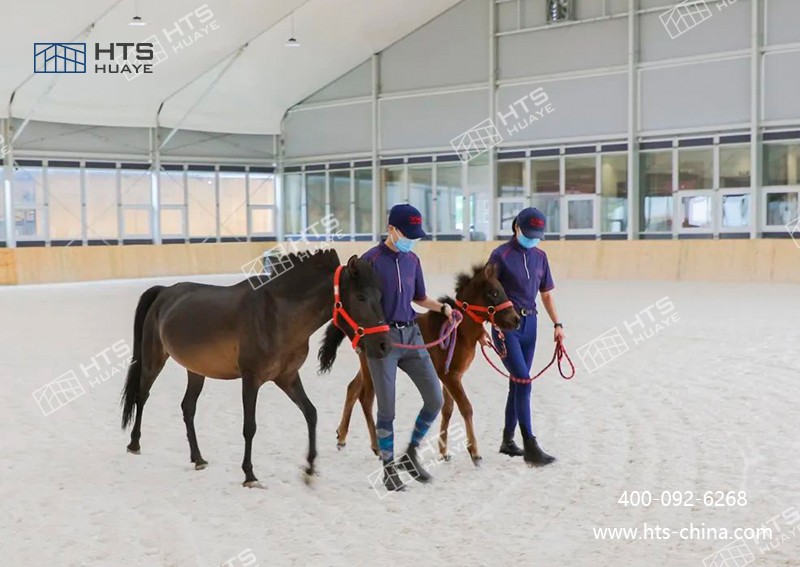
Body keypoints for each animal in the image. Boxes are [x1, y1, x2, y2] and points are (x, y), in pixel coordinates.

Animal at [120, 250, 390, 487]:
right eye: (361, 297)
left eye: (380, 295)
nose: (384, 345)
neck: (277, 315)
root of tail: (164, 292)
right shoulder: (251, 379)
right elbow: (249, 427)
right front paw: (249, 475)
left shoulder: (287, 377)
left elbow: (311, 413)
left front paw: (310, 469)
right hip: (154, 359)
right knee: (142, 396)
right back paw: (134, 445)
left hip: (196, 370)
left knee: (188, 407)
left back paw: (198, 459)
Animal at [331, 262, 520, 465]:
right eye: (494, 292)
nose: (516, 319)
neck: (459, 331)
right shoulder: (450, 377)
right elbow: (466, 407)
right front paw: (475, 452)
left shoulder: (449, 376)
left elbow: (447, 409)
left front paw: (444, 452)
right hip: (372, 368)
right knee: (366, 398)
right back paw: (377, 447)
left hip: (365, 367)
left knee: (352, 388)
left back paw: (341, 437)